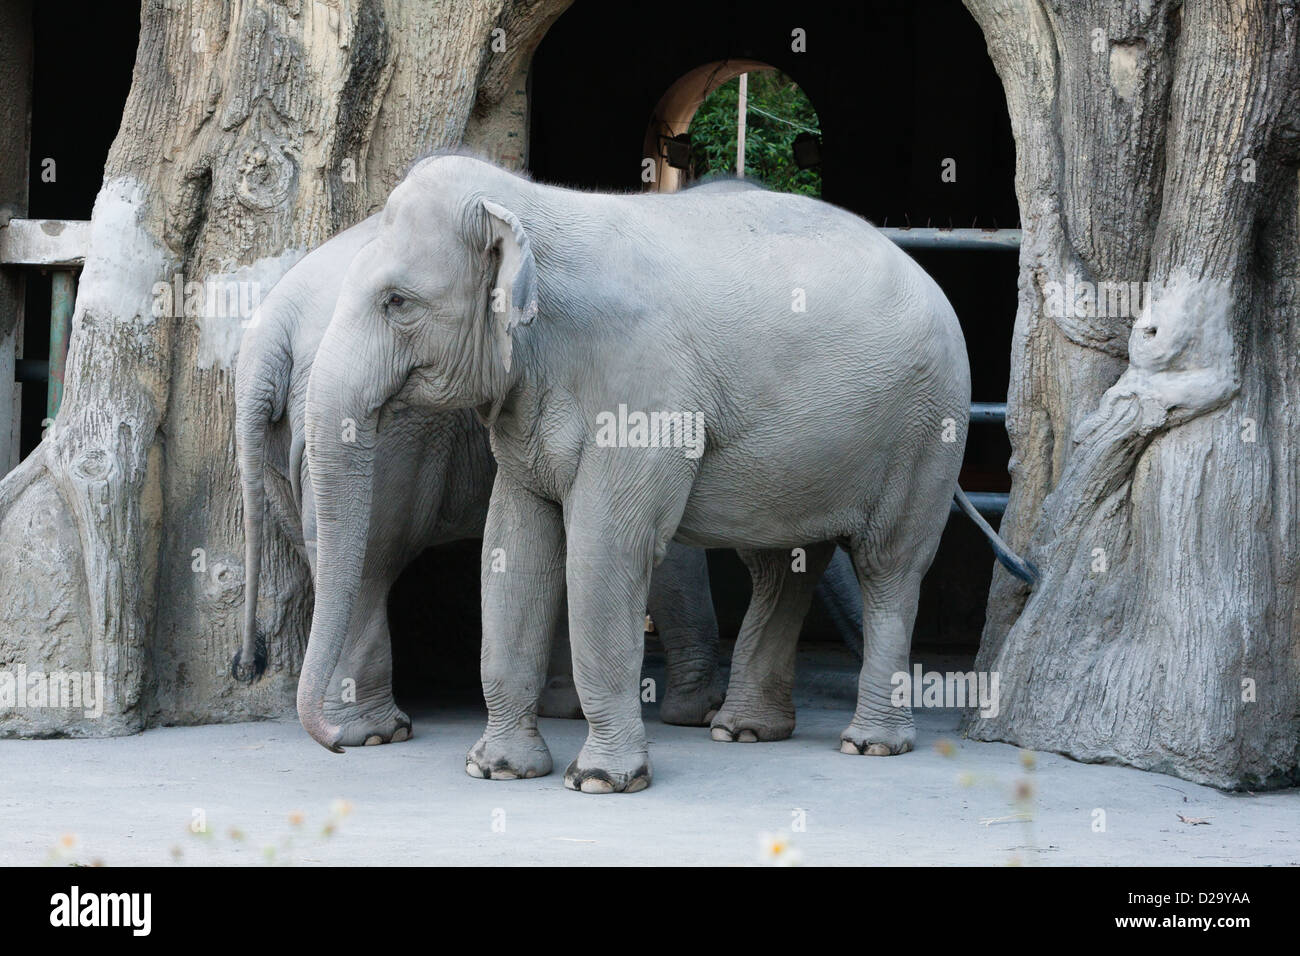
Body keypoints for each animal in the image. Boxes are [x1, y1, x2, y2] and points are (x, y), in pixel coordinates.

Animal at [231, 214, 743, 749]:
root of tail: (270, 332)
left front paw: (565, 708)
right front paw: (700, 713)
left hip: (285, 450)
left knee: (329, 553)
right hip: (392, 435)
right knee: (373, 559)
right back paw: (374, 733)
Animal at [297, 155, 1034, 790]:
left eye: (397, 302)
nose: (336, 744)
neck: (534, 206)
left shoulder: (644, 393)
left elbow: (605, 550)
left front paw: (600, 781)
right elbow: (514, 548)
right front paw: (497, 770)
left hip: (927, 425)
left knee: (889, 567)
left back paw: (869, 744)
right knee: (783, 566)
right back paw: (744, 731)